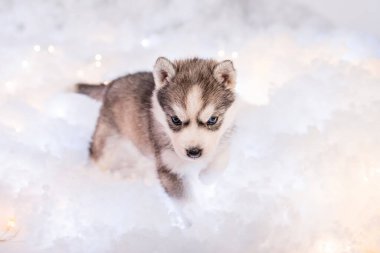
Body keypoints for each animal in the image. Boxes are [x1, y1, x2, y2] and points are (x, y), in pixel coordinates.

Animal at [77, 56, 238, 198]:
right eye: (175, 119)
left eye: (212, 119)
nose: (193, 152)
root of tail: (112, 83)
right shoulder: (168, 166)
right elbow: (184, 200)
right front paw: (193, 213)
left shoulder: (224, 141)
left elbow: (220, 162)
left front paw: (206, 178)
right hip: (108, 142)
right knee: (97, 156)